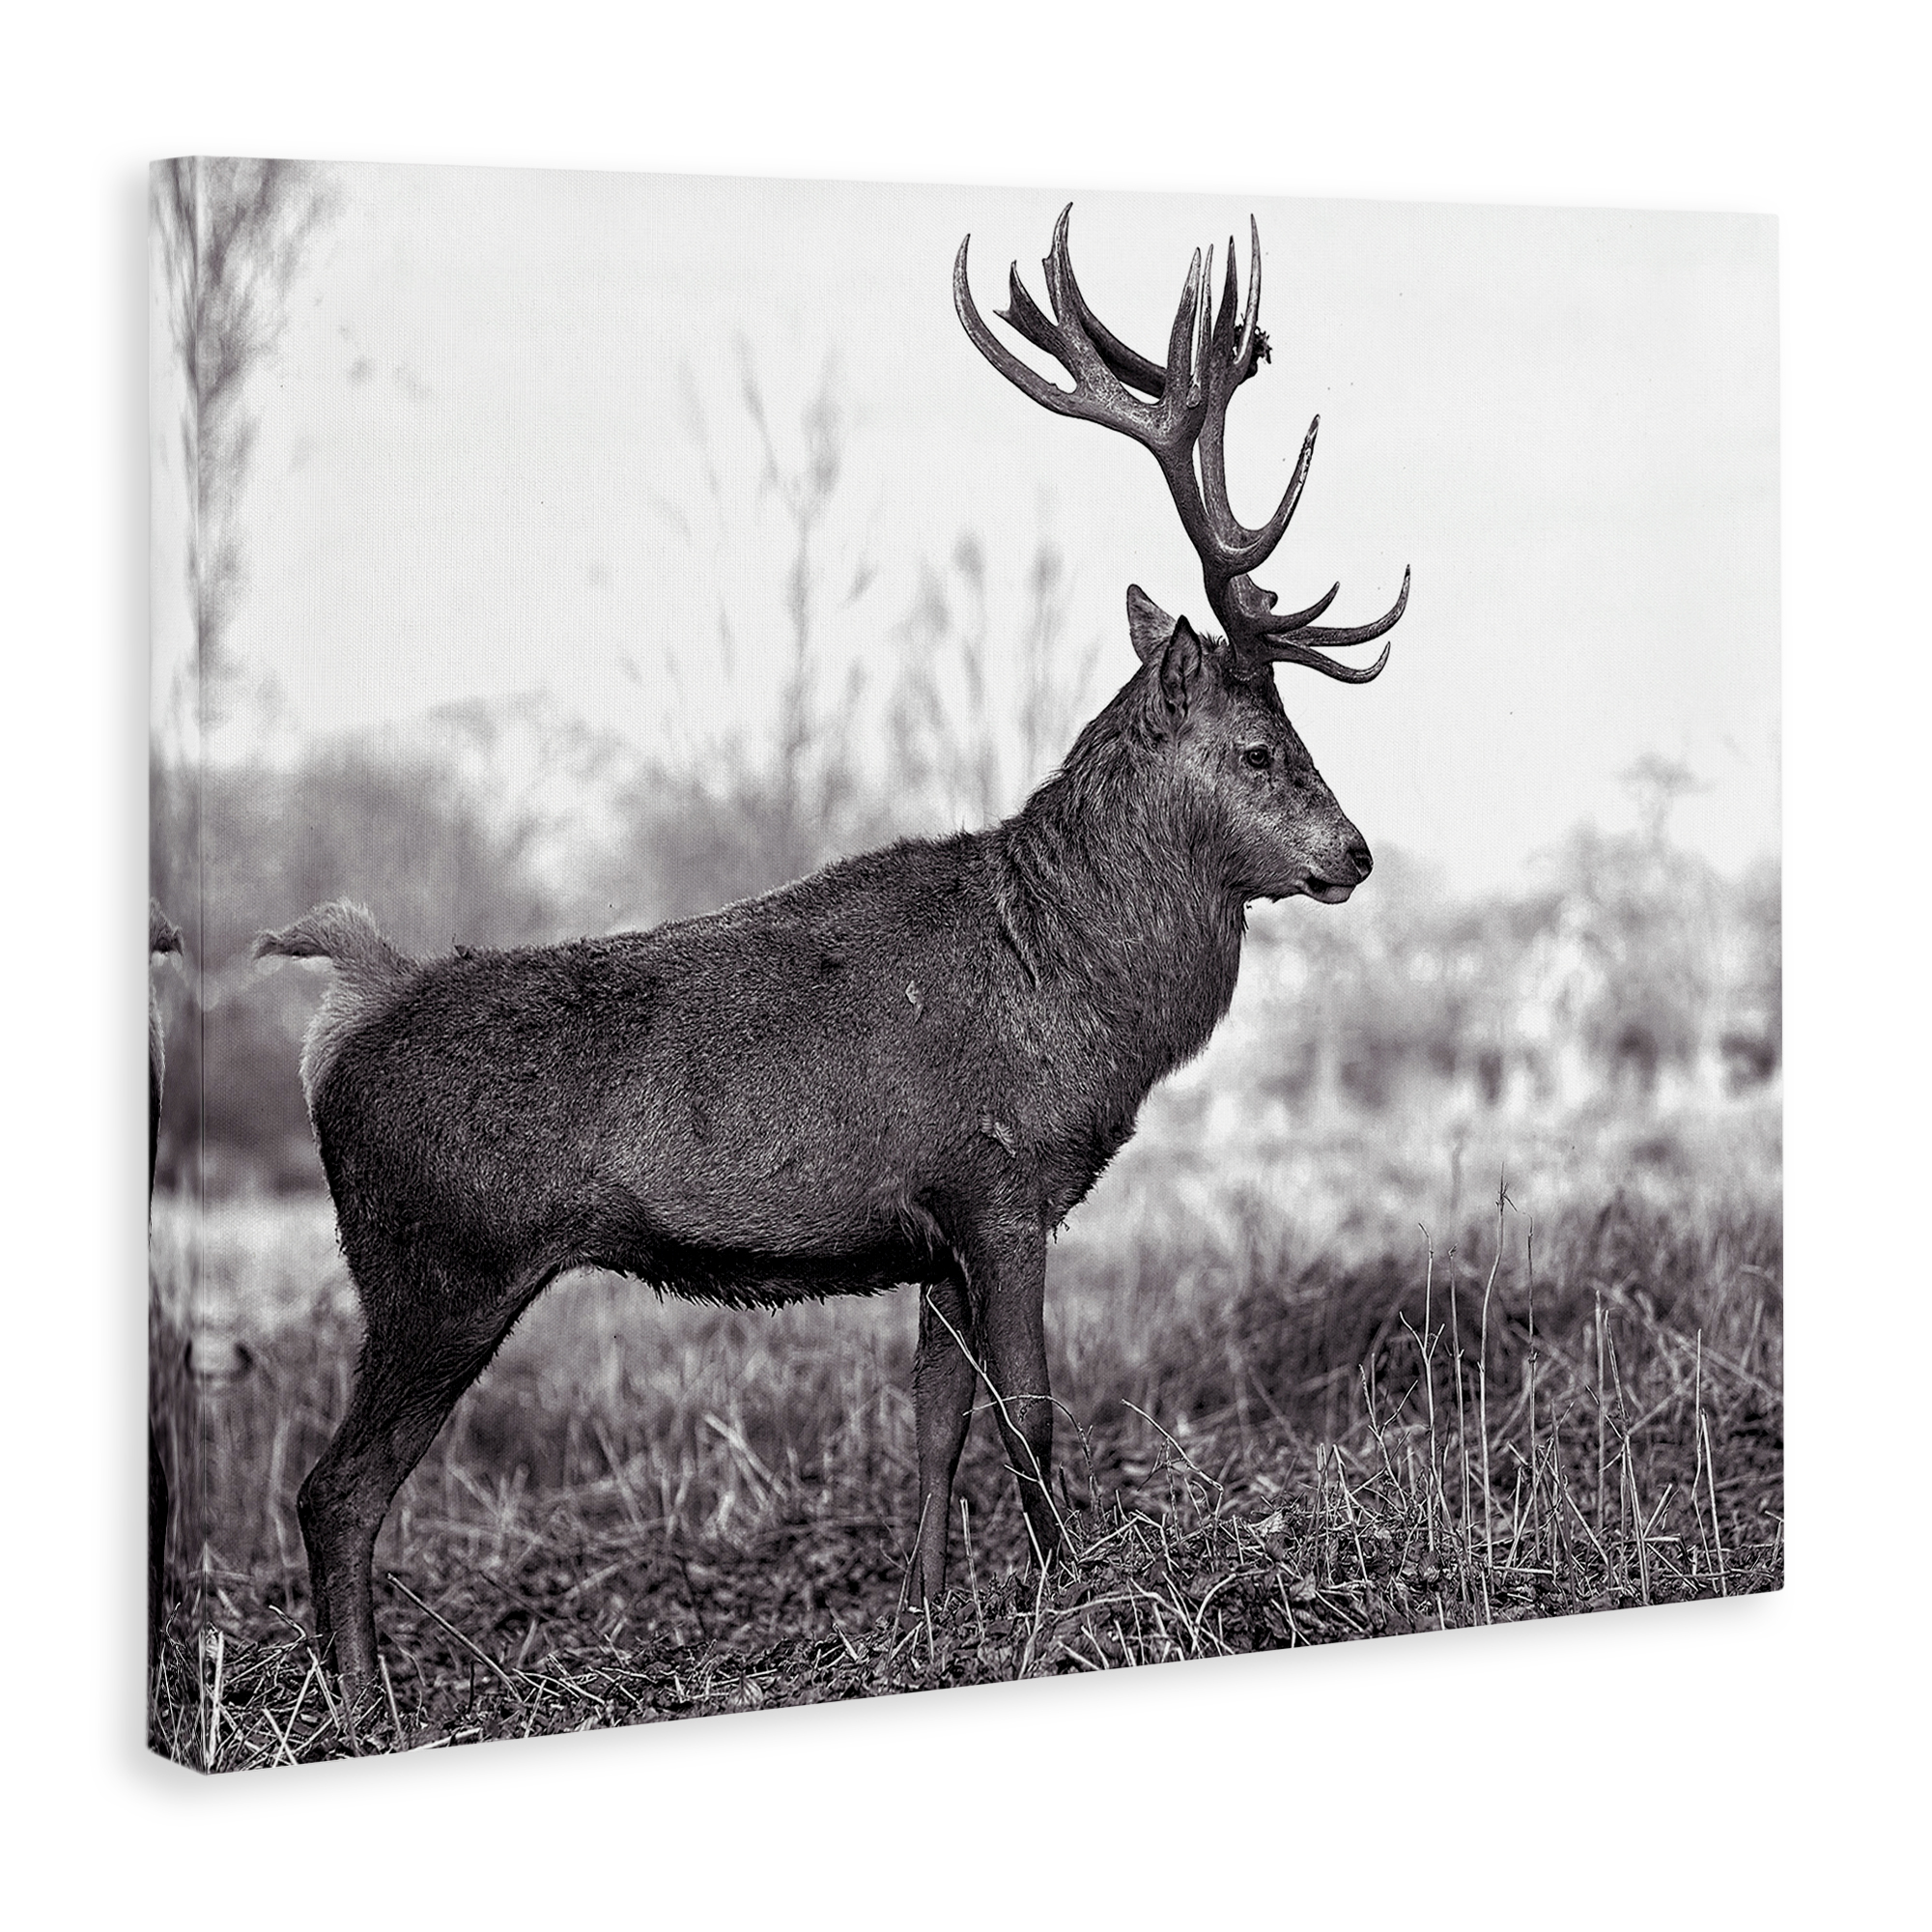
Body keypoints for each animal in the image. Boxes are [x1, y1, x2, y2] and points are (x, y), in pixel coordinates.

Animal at [254, 206, 1408, 1715]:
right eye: (1263, 750)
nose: (1354, 854)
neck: (1076, 995)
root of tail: (343, 1016)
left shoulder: (932, 1229)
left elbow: (932, 1424)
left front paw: (923, 1621)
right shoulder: (1000, 1186)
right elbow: (1031, 1414)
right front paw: (1076, 1603)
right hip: (434, 1265)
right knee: (334, 1489)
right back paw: (366, 1705)